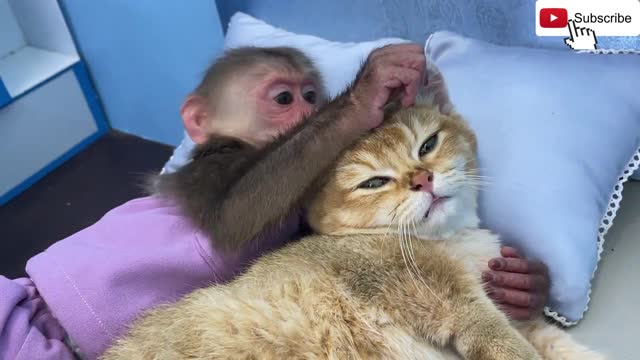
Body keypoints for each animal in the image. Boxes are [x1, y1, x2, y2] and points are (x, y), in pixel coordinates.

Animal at [101, 63, 604, 358]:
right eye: (374, 182)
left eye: (428, 144)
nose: (422, 179)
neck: (450, 244)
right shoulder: (459, 306)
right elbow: (512, 346)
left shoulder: (506, 310)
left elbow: (558, 343)